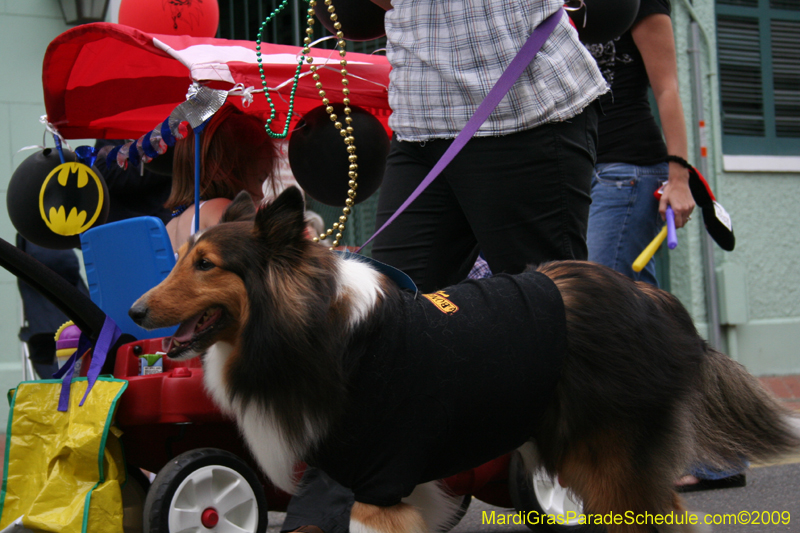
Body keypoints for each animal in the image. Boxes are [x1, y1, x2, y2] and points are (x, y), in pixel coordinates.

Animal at [131, 188, 800, 532]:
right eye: (183, 257)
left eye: (205, 264)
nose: (134, 311)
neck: (312, 330)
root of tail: (650, 297)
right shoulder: (364, 481)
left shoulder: (376, 481)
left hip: (606, 460)